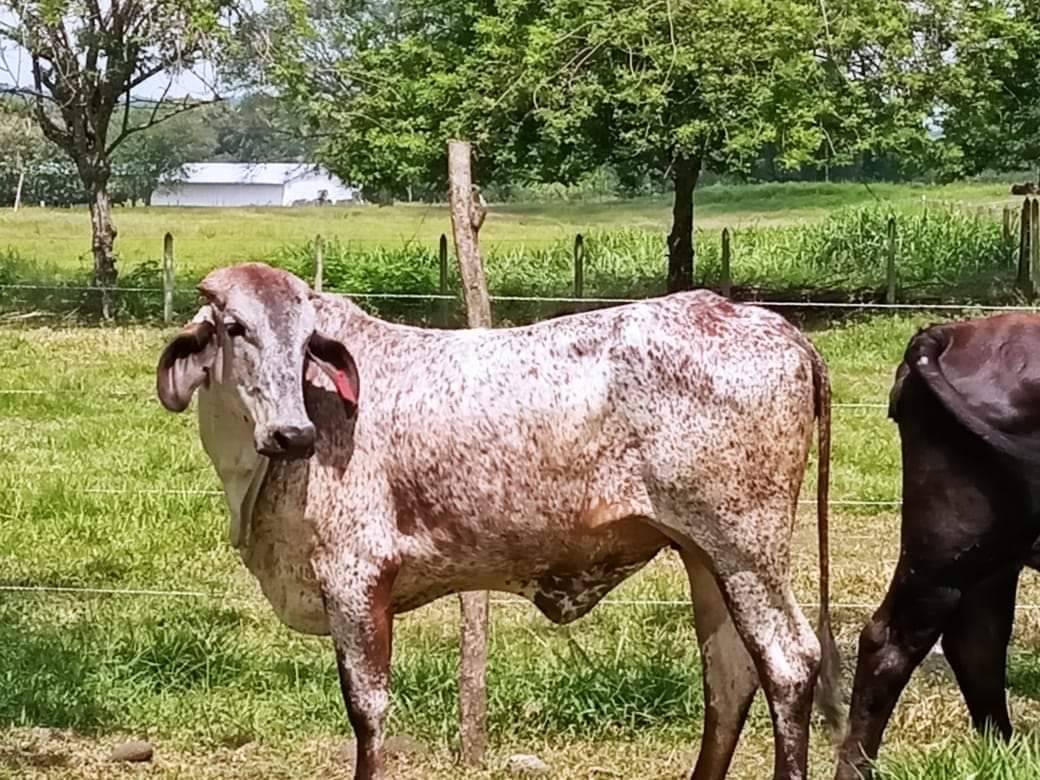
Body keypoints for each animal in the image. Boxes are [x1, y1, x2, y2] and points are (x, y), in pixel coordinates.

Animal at [156, 262, 843, 780]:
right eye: (236, 328)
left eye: (306, 341)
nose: (292, 434)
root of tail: (769, 323)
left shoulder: (356, 580)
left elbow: (368, 713)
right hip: (703, 554)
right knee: (729, 676)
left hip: (746, 548)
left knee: (788, 664)